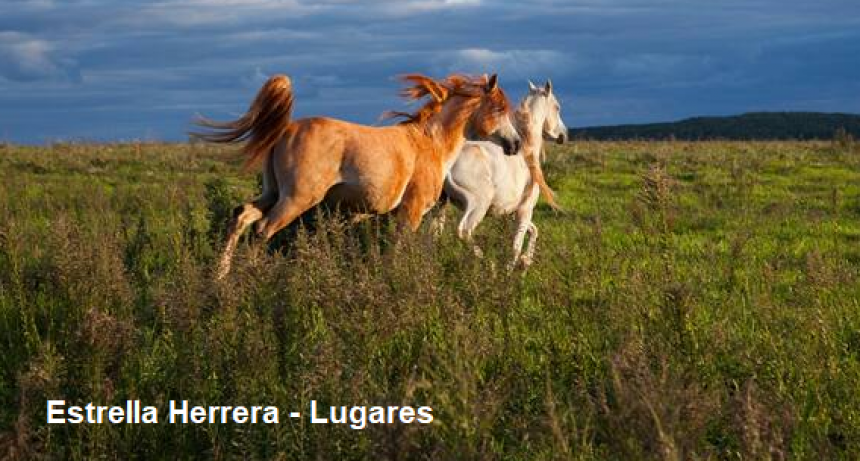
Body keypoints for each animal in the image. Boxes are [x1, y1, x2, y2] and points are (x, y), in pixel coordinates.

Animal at [193, 73, 522, 279]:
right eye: (499, 108)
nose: (515, 144)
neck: (430, 144)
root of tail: (285, 129)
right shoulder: (411, 211)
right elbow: (397, 250)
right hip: (296, 198)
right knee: (262, 228)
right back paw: (251, 278)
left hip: (272, 193)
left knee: (241, 216)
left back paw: (220, 278)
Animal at [439, 80, 568, 268]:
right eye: (557, 107)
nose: (563, 135)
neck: (526, 154)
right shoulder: (524, 211)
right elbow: (516, 246)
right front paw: (512, 269)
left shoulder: (514, 212)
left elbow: (534, 231)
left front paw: (526, 261)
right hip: (477, 205)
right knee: (463, 231)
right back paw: (487, 263)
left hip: (440, 205)